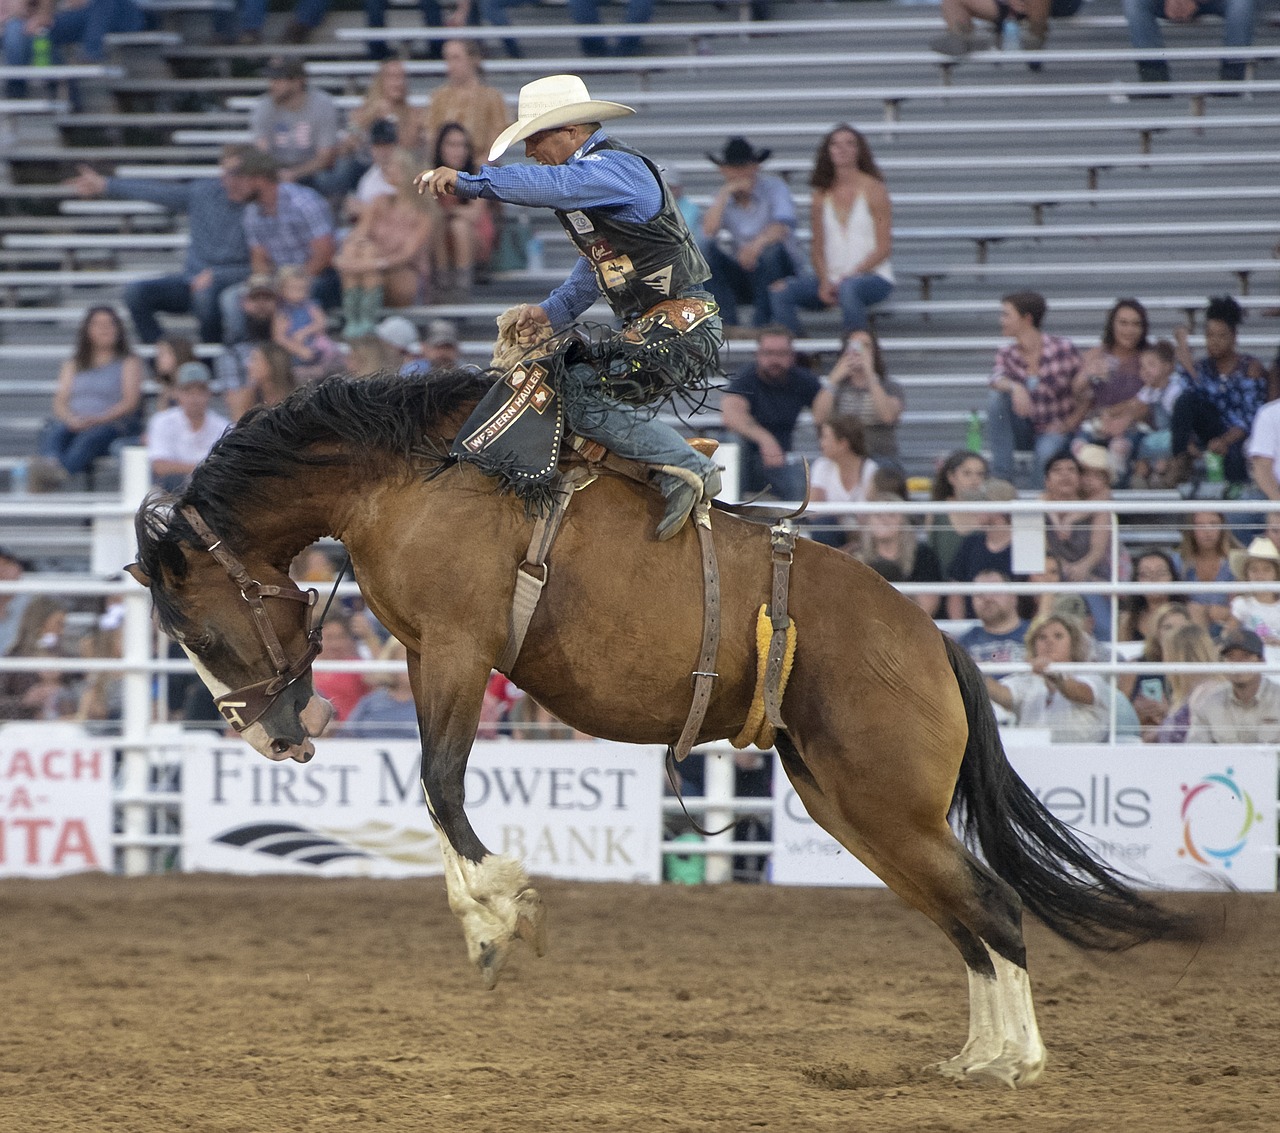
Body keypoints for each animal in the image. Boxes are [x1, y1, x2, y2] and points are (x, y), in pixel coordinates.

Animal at [124, 371, 1192, 1085]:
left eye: (204, 633)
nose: (269, 739)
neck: (419, 474)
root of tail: (931, 639)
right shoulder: (432, 654)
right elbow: (434, 789)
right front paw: (483, 921)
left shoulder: (461, 647)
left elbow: (442, 781)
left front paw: (503, 911)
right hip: (854, 807)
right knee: (964, 916)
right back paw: (978, 1055)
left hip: (884, 803)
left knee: (994, 905)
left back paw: (1018, 1059)